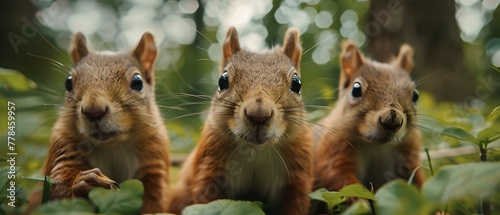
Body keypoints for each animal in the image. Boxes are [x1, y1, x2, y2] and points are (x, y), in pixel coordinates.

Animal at [34, 31, 170, 213]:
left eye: (138, 82)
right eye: (68, 82)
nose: (94, 111)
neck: (112, 146)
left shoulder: (155, 162)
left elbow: (156, 201)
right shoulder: (62, 147)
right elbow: (57, 192)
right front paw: (87, 181)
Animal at [168, 26, 314, 215]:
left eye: (297, 83)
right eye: (222, 80)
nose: (258, 114)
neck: (256, 151)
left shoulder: (297, 176)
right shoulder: (210, 167)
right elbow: (206, 199)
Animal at [314, 40, 424, 197]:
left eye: (415, 95)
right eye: (355, 89)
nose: (392, 121)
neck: (375, 146)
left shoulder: (408, 157)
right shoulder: (334, 151)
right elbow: (337, 178)